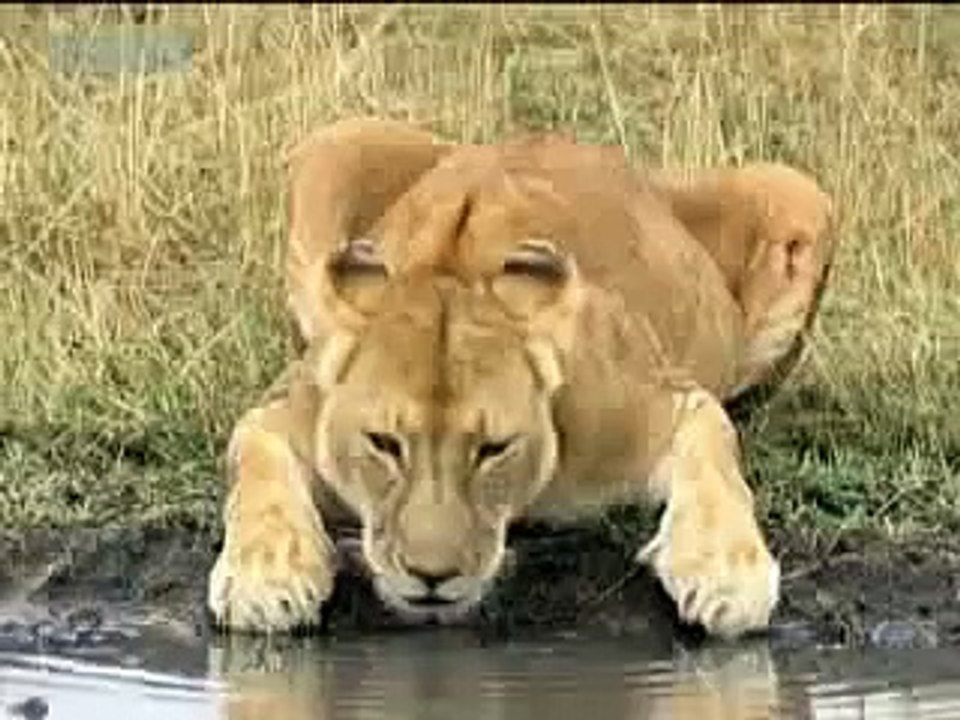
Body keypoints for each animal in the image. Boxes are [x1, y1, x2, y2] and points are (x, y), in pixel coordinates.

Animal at [206, 117, 836, 639]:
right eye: (384, 444)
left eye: (494, 448)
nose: (431, 576)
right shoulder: (292, 406)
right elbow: (253, 455)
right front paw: (267, 576)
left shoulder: (665, 402)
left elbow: (717, 454)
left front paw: (724, 573)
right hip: (334, 143)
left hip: (798, 192)